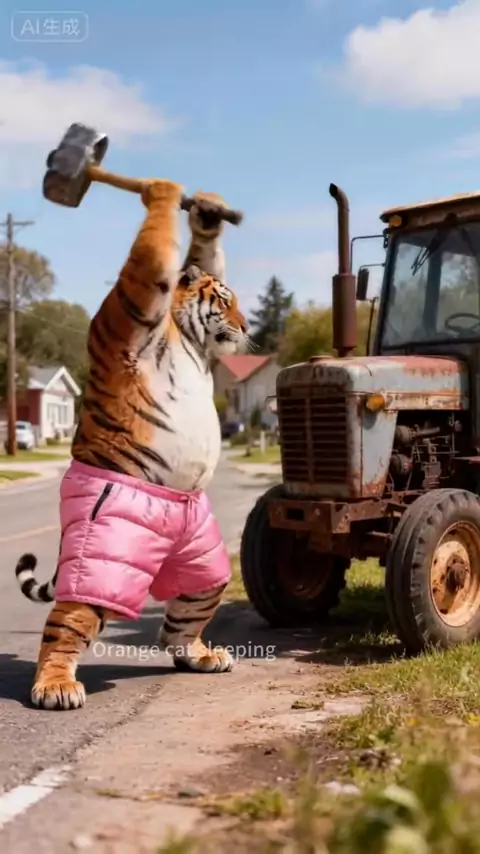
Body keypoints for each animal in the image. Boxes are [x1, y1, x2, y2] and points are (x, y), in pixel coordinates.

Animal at [14, 177, 249, 711]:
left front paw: (206, 214)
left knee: (181, 618)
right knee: (66, 624)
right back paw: (55, 687)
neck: (182, 334)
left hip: (200, 553)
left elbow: (203, 253)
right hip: (105, 557)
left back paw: (198, 655)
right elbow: (152, 257)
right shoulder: (134, 301)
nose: (247, 327)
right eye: (225, 302)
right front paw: (164, 192)